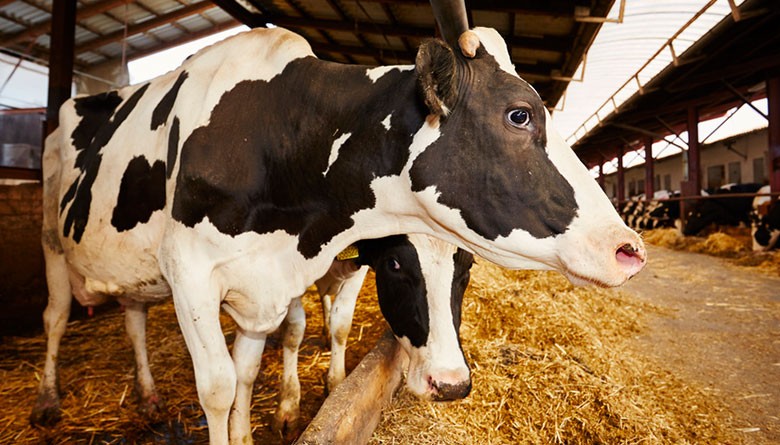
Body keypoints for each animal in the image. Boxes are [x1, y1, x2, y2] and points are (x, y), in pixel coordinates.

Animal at [273, 234, 473, 433]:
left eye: (470, 263)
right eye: (393, 263)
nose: (451, 386)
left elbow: (341, 322)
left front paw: (336, 384)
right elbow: (294, 330)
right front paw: (288, 405)